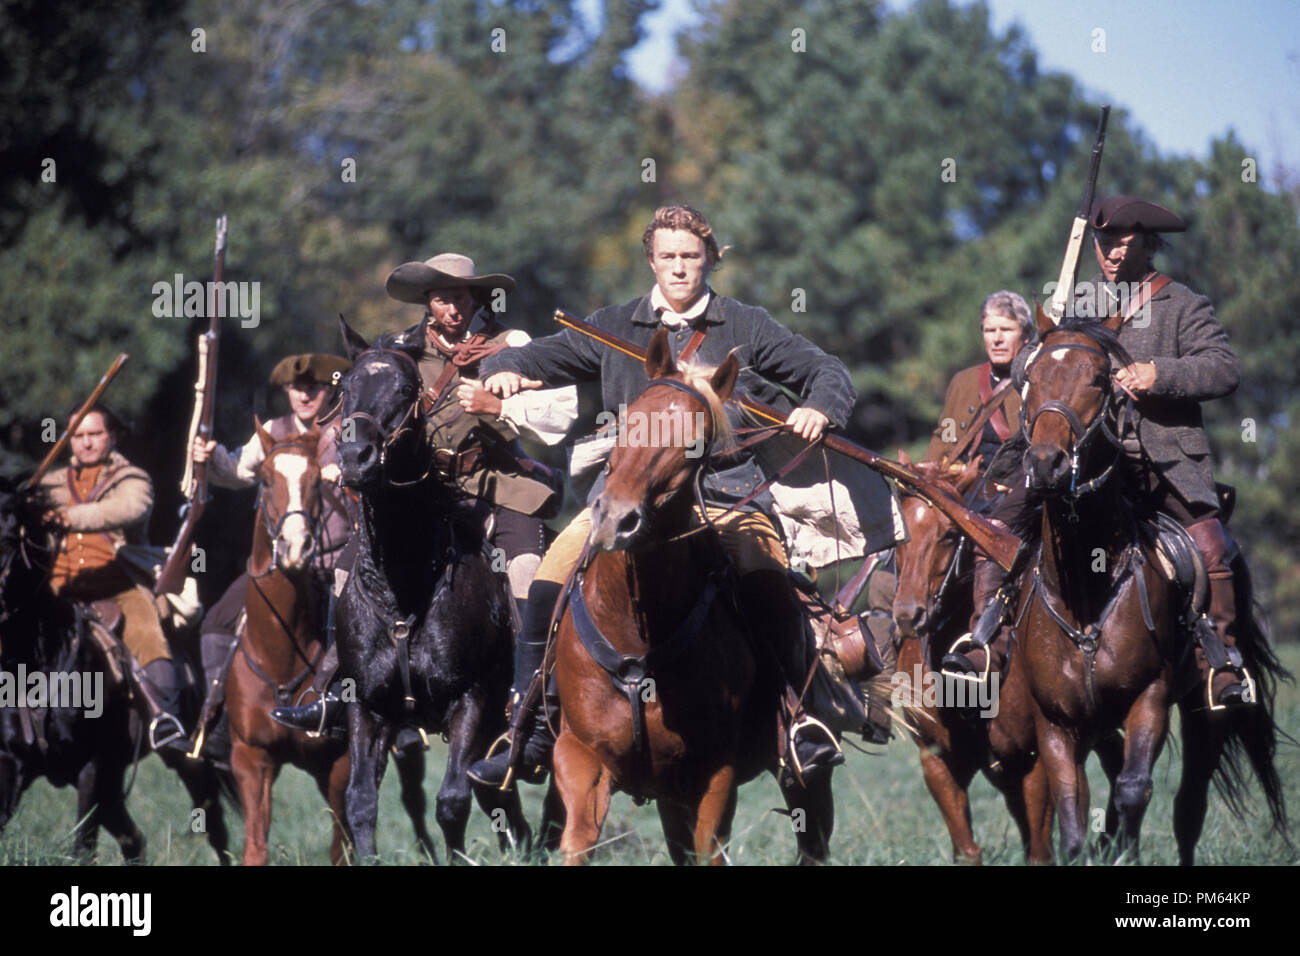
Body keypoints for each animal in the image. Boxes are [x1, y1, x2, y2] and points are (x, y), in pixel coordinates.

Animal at [1, 478, 233, 868]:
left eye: (6, 536)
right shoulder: (14, 765)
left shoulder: (90, 770)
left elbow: (83, 847)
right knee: (135, 840)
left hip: (184, 764)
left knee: (216, 828)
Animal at [332, 319, 530, 858]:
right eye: (345, 387)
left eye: (405, 390)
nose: (355, 458)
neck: (407, 589)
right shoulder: (366, 707)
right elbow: (360, 801)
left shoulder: (470, 701)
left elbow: (452, 803)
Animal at [548, 335, 832, 868]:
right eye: (628, 421)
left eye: (694, 442)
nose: (615, 520)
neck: (634, 634)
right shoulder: (580, 758)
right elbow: (577, 840)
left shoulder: (714, 775)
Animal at [1019, 317, 1284, 863]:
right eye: (1030, 379)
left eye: (1099, 379)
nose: (1046, 464)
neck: (1085, 595)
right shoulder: (1055, 722)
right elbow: (1073, 817)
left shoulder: (1151, 698)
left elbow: (1133, 791)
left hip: (1206, 711)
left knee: (1188, 807)